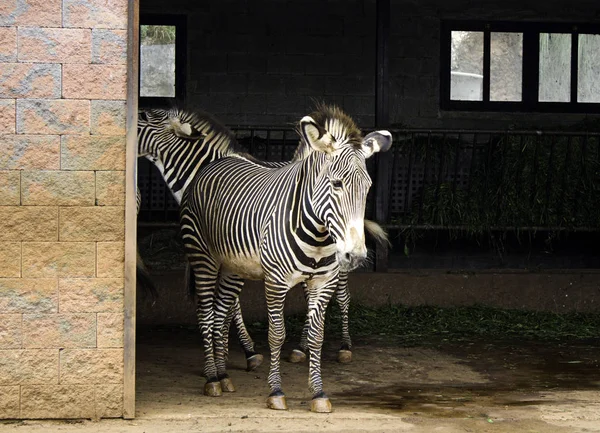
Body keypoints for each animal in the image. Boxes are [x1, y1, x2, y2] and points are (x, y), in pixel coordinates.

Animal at [179, 105, 394, 412]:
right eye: (337, 184)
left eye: (367, 187)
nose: (355, 255)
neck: (317, 235)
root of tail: (215, 164)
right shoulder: (275, 282)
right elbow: (276, 334)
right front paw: (276, 392)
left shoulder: (323, 282)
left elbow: (316, 336)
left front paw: (318, 393)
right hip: (203, 258)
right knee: (207, 316)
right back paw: (211, 379)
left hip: (234, 267)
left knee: (220, 314)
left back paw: (223, 375)